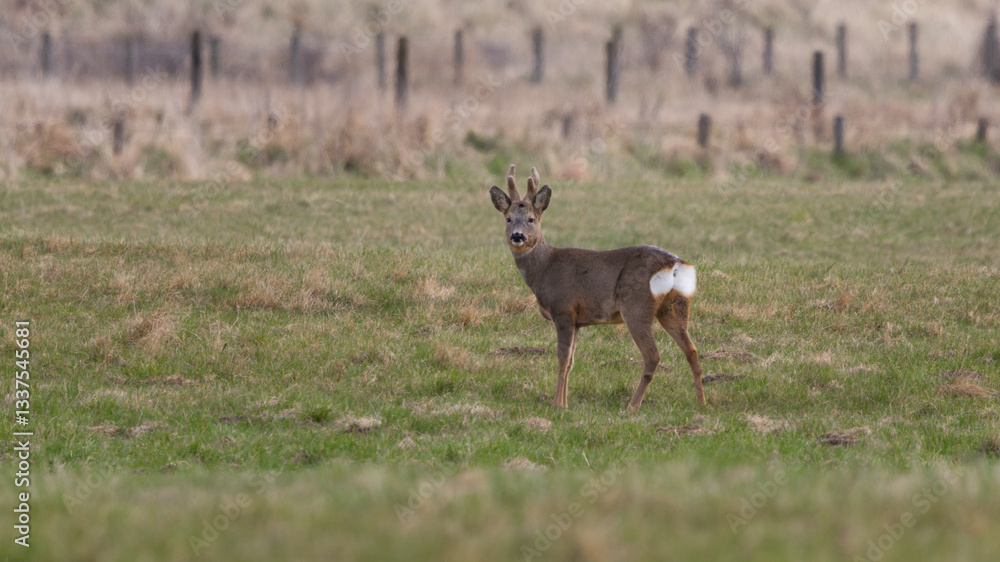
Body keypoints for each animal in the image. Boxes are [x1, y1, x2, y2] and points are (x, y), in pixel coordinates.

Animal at [489, 165, 705, 410]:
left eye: (531, 219)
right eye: (508, 219)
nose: (517, 236)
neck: (544, 269)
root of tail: (675, 264)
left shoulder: (563, 309)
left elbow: (562, 359)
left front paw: (558, 405)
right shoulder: (578, 321)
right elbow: (571, 361)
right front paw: (565, 402)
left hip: (636, 306)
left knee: (653, 355)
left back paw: (632, 406)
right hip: (675, 307)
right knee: (692, 350)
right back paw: (701, 403)